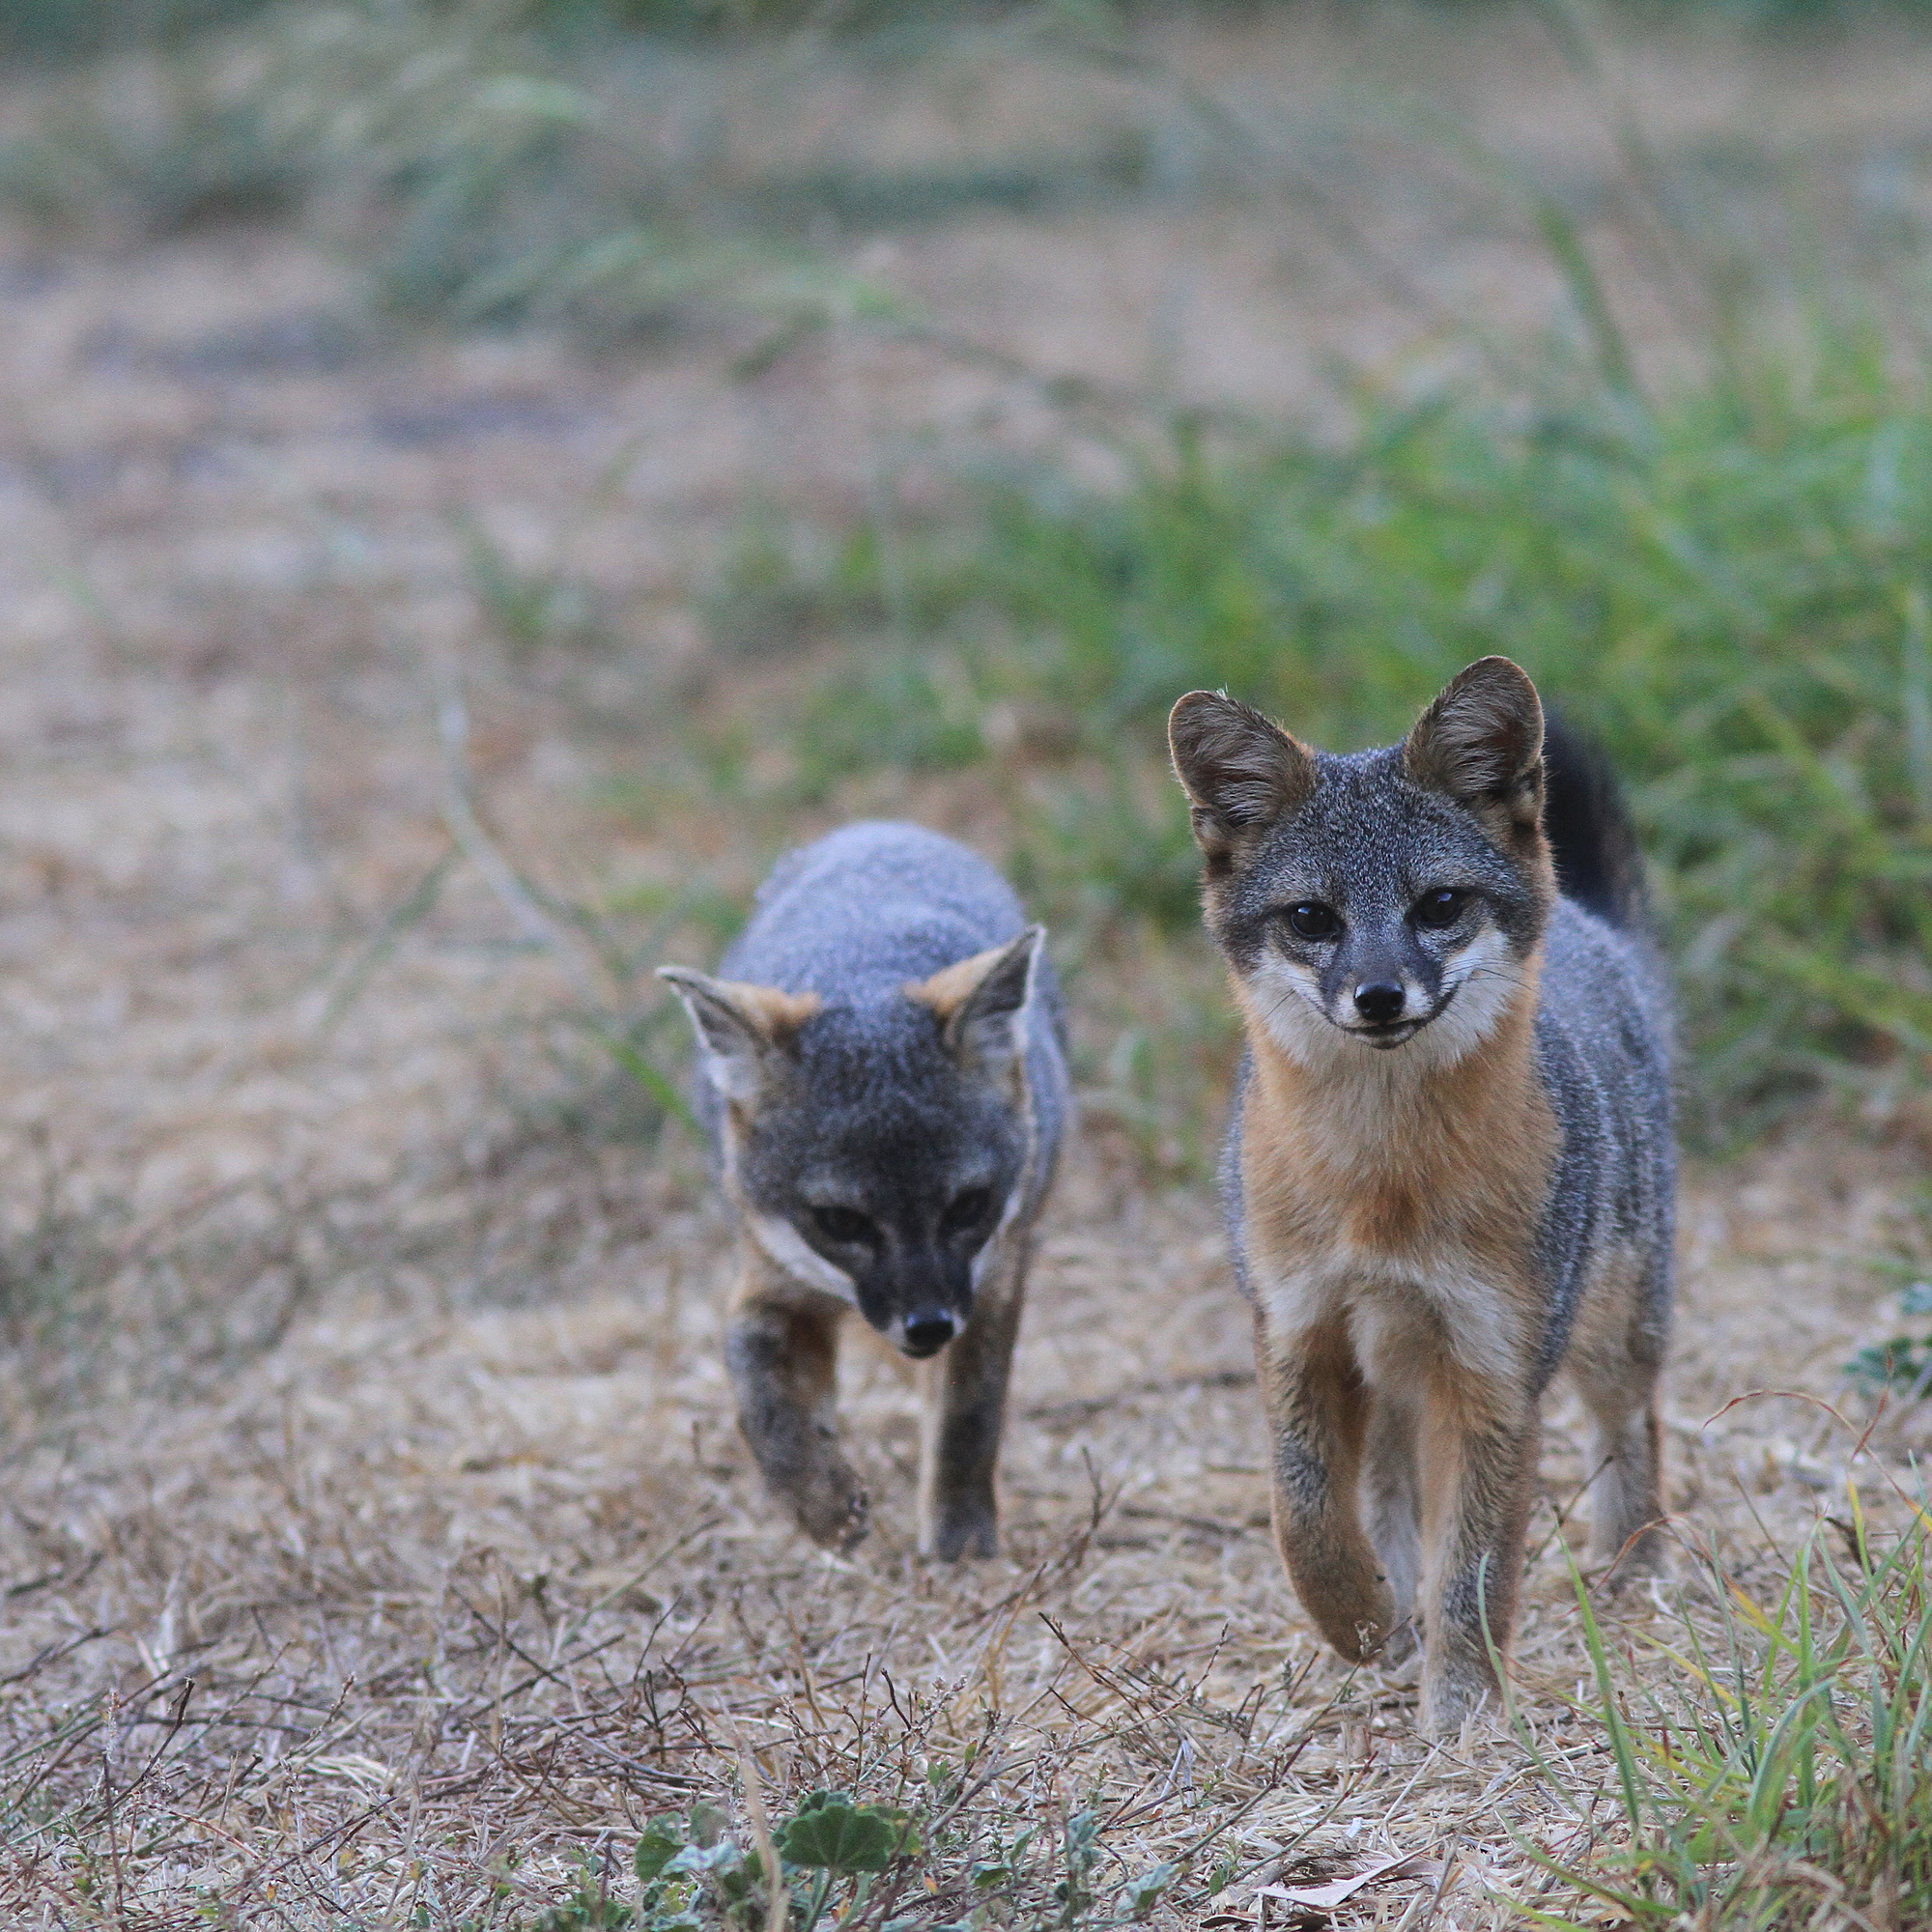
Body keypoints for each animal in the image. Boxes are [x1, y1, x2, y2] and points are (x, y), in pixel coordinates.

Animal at [657, 823, 1066, 1561]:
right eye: (840, 1221)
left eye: (968, 1205)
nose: (927, 1325)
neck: (866, 973)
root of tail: (879, 829)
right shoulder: (769, 1279)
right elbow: (760, 1401)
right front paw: (820, 1503)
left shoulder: (991, 1286)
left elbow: (967, 1419)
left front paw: (961, 1542)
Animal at [1159, 661, 1677, 1739]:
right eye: (1311, 919)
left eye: (1438, 905)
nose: (1378, 996)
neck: (1380, 1191)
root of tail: (1595, 932)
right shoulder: (1295, 1328)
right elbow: (1304, 1516)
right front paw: (1357, 1616)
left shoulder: (1495, 1370)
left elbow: (1473, 1571)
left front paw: (1461, 1717)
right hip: (1391, 1369)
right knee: (1385, 1490)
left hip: (1608, 1335)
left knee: (1630, 1426)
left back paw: (1632, 1559)